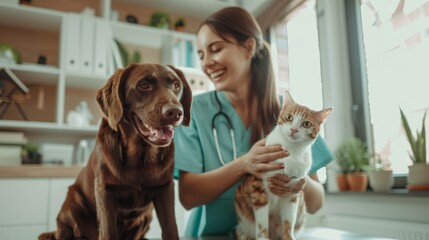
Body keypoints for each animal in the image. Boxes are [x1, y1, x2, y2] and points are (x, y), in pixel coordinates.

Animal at [38, 63, 192, 240]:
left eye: (176, 86)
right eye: (144, 85)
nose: (175, 112)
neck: (140, 156)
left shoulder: (165, 187)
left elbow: (170, 226)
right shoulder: (105, 190)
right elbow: (108, 230)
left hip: (146, 215)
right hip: (72, 203)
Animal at [234, 90, 332, 240]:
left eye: (306, 124)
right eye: (289, 117)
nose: (293, 129)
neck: (290, 151)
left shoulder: (291, 192)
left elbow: (288, 221)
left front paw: (288, 236)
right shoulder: (258, 187)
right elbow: (262, 225)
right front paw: (262, 237)